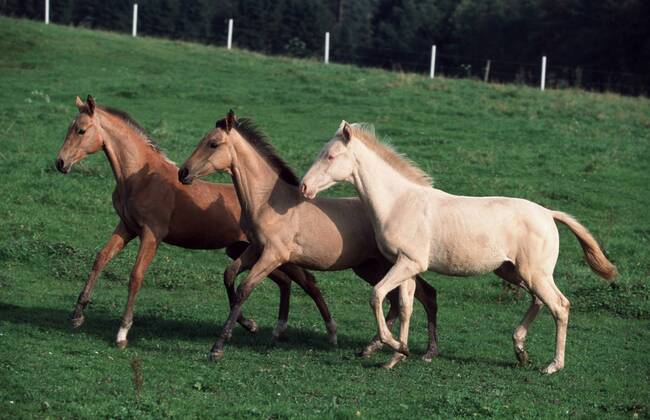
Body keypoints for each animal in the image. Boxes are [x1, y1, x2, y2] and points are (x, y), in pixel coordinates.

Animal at [55, 96, 336, 349]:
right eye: (69, 127)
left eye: (81, 130)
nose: (60, 162)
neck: (139, 178)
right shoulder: (127, 227)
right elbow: (101, 258)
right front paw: (77, 315)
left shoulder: (151, 235)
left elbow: (136, 276)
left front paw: (122, 333)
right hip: (244, 250)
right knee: (283, 281)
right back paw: (264, 327)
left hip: (275, 253)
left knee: (307, 281)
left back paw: (329, 333)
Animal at [178, 111, 439, 368]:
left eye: (213, 144)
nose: (183, 173)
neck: (267, 202)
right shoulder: (255, 249)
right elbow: (229, 274)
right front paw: (247, 324)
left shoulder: (273, 255)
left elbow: (245, 288)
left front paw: (219, 347)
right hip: (370, 267)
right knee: (398, 299)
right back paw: (373, 348)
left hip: (395, 265)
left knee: (425, 294)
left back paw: (423, 351)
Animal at [300, 121, 617, 374]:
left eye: (330, 156)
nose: (304, 187)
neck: (400, 203)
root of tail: (548, 214)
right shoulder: (406, 266)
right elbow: (406, 307)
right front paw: (397, 356)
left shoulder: (408, 263)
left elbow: (377, 295)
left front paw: (393, 346)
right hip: (513, 272)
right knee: (539, 302)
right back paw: (520, 351)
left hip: (534, 274)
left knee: (560, 306)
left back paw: (553, 365)